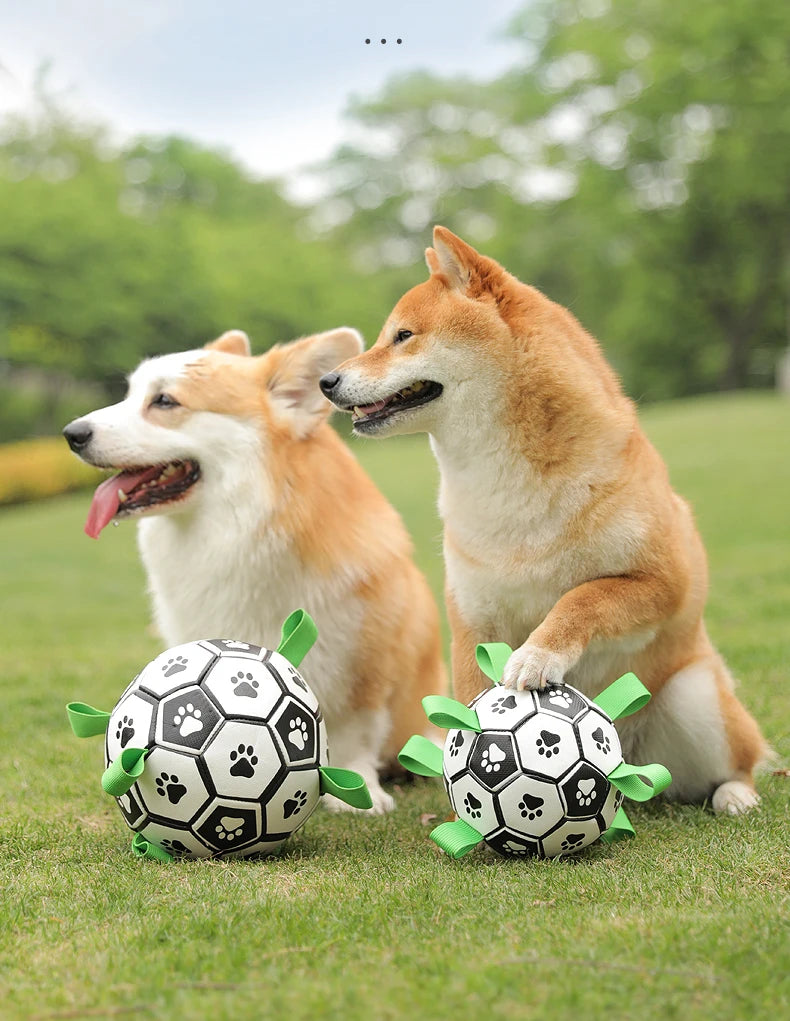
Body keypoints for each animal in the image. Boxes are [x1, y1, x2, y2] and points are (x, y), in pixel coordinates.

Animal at [63, 326, 445, 812]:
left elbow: (355, 733)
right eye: (129, 394)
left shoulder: (364, 662)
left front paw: (360, 791)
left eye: (164, 401)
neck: (243, 527)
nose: (72, 434)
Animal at [320, 229, 767, 812]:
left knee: (742, 761)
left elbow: (581, 598)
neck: (504, 485)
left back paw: (735, 795)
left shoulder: (664, 580)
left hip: (696, 698)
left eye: (403, 336)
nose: (327, 380)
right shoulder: (473, 618)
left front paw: (538, 654)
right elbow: (469, 704)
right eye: (387, 335)